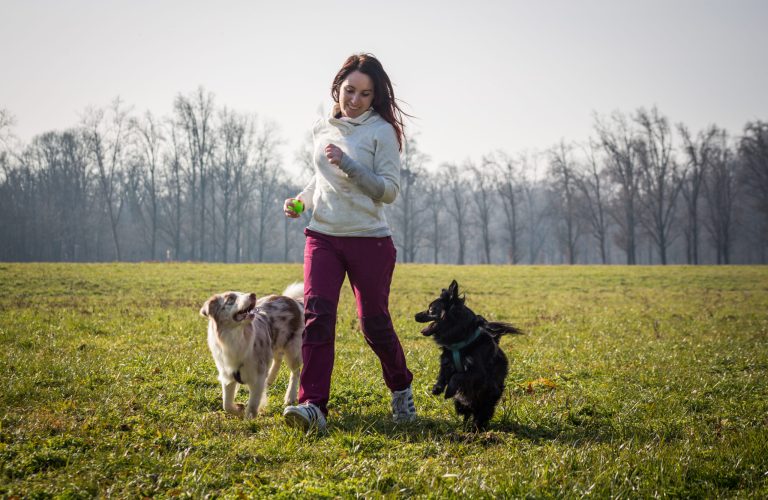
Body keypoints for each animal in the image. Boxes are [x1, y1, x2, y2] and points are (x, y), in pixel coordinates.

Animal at [414, 282, 520, 430]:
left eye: (431, 309)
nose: (415, 315)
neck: (460, 340)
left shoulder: (478, 373)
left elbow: (457, 376)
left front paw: (449, 391)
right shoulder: (447, 362)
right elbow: (443, 375)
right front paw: (437, 388)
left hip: (487, 399)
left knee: (481, 414)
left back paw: (476, 428)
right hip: (461, 403)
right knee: (466, 412)